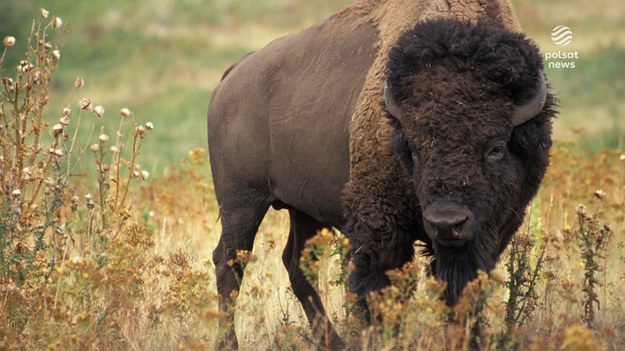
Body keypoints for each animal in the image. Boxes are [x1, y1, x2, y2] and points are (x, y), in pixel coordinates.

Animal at [207, 0, 552, 350]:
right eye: (412, 148)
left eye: (495, 147)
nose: (446, 223)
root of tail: (235, 73)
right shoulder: (381, 228)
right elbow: (381, 291)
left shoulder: (491, 232)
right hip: (241, 202)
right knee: (230, 263)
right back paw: (229, 343)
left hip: (302, 210)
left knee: (296, 264)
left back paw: (335, 342)